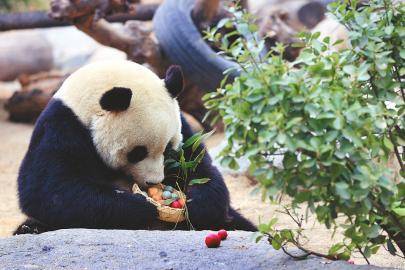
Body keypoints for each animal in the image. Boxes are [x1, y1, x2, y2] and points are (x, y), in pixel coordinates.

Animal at [15, 59, 256, 234]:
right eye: (137, 153)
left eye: (168, 149)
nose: (154, 181)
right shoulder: (62, 126)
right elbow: (49, 190)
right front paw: (142, 206)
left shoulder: (183, 126)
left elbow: (201, 168)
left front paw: (194, 202)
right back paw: (30, 229)